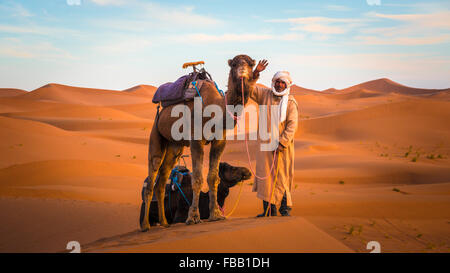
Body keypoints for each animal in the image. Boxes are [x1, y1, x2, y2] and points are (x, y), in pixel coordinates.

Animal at [141, 53, 260, 230]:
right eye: (234, 64)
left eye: (251, 64)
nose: (242, 72)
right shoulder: (196, 140)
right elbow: (197, 178)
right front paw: (193, 217)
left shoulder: (220, 140)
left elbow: (213, 177)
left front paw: (215, 215)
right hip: (156, 134)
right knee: (152, 175)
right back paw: (146, 225)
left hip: (175, 147)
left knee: (161, 181)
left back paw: (164, 222)